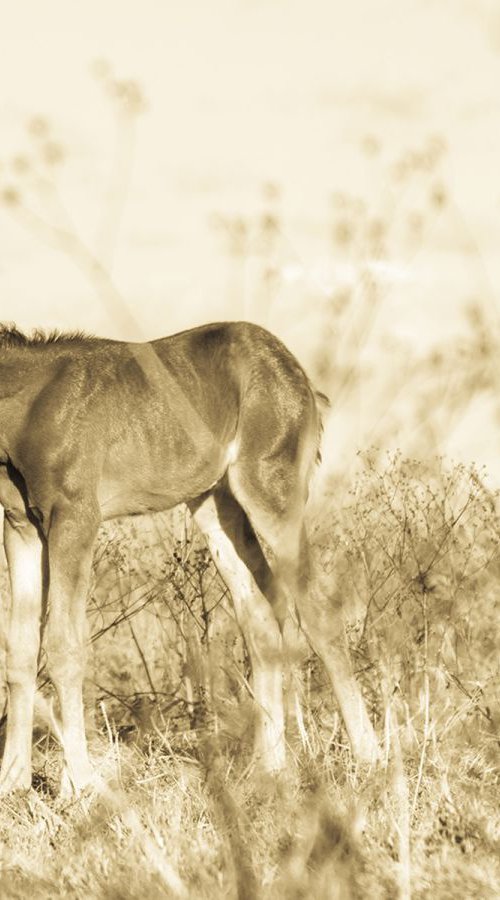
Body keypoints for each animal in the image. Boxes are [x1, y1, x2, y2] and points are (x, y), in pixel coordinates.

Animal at [0, 324, 376, 796]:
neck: (31, 404)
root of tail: (300, 377)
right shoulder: (20, 526)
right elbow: (20, 647)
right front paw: (12, 782)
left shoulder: (75, 517)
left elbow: (65, 645)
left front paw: (82, 785)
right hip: (216, 502)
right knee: (260, 616)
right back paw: (268, 769)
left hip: (271, 489)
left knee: (317, 609)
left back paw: (368, 758)